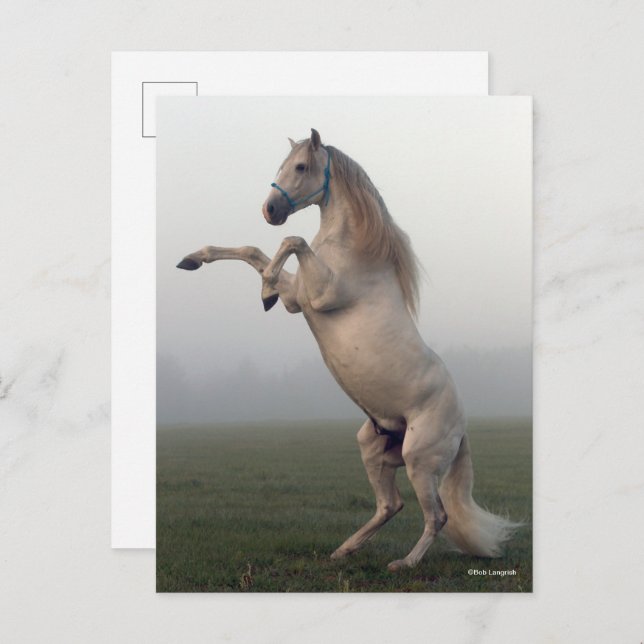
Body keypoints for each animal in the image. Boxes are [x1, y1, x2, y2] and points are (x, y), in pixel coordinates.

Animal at [177, 129, 520, 572]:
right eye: (283, 166)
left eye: (301, 166)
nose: (270, 210)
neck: (354, 253)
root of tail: (462, 429)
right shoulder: (297, 297)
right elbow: (255, 251)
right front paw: (194, 260)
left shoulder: (314, 296)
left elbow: (290, 241)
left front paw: (265, 289)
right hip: (374, 448)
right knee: (390, 505)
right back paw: (343, 550)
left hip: (419, 460)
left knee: (437, 515)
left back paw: (404, 563)